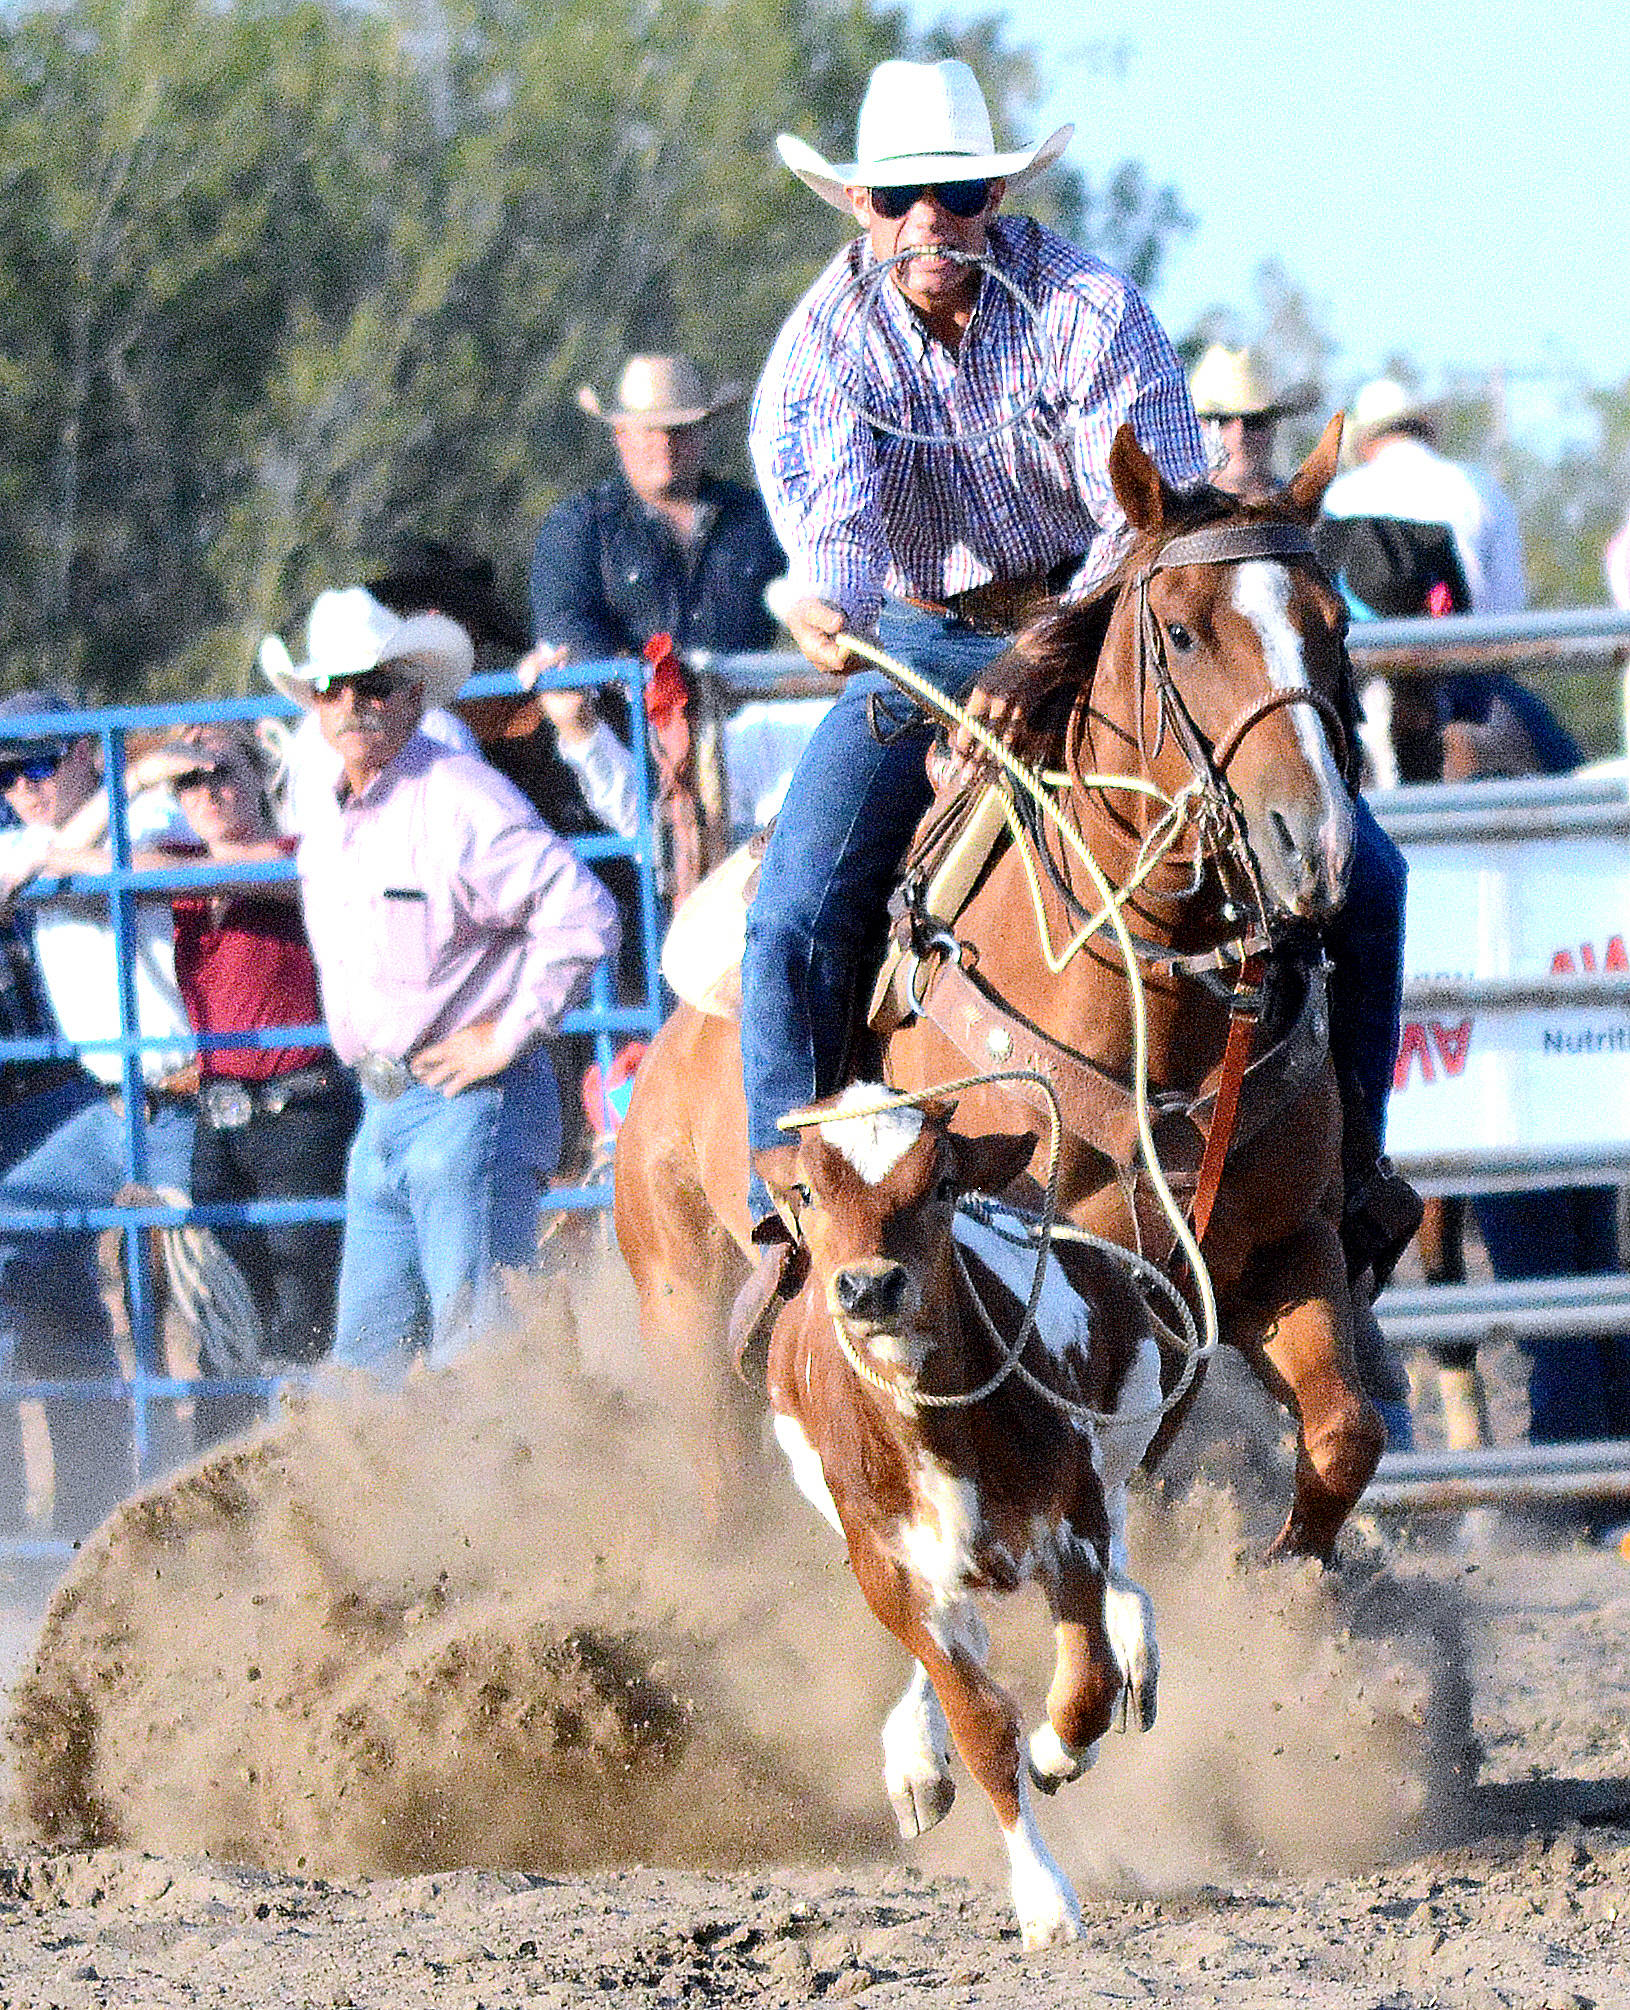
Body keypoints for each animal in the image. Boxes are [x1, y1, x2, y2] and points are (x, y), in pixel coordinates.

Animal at [619, 416, 1382, 1559]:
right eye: (1182, 634)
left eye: (1331, 628)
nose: (1314, 847)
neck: (1158, 1016)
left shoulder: (1285, 1255)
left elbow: (1343, 1435)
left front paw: (1293, 1577)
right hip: (686, 1323)